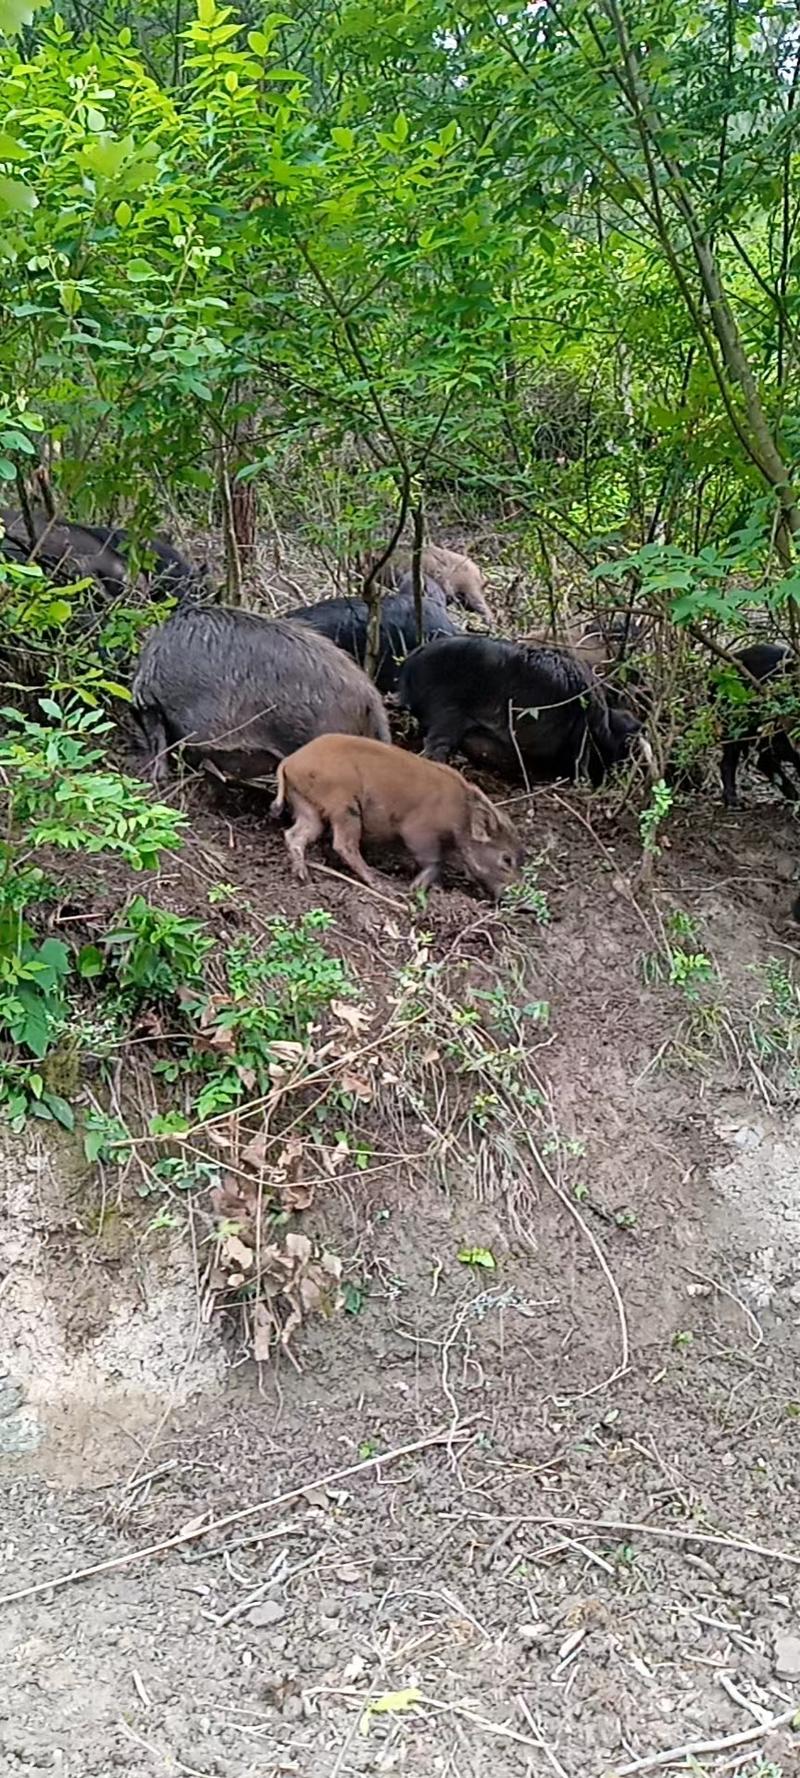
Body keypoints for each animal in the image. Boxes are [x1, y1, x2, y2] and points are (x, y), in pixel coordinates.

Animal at [273, 736, 526, 896]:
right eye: (507, 859)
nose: (517, 897)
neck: (460, 814)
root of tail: (289, 761)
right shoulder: (418, 831)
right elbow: (435, 861)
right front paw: (416, 888)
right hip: (344, 807)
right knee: (344, 845)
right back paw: (382, 885)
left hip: (307, 806)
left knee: (294, 835)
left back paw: (304, 877)